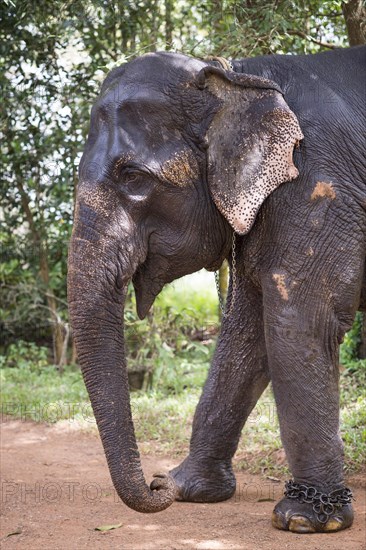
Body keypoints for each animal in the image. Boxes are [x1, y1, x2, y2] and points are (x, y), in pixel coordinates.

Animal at [67, 45, 364, 536]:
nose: (155, 483)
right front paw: (188, 489)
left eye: (132, 177)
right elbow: (246, 331)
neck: (235, 76)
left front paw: (305, 520)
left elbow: (300, 322)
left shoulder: (323, 186)